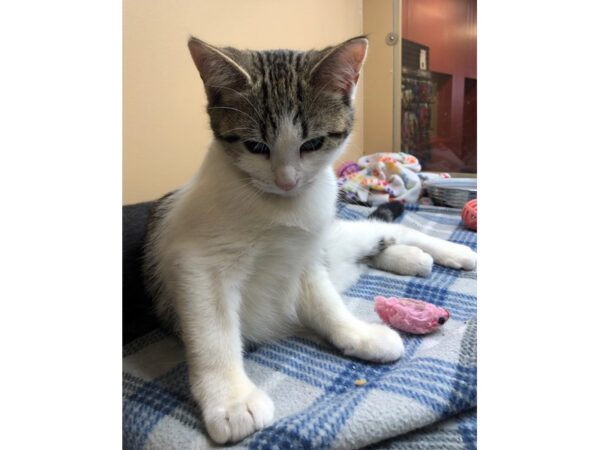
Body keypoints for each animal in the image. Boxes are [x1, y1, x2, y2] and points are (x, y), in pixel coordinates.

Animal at [143, 35, 476, 442]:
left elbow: (326, 303)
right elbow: (214, 332)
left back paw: (452, 251)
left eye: (313, 143)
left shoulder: (304, 255)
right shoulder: (197, 264)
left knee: (390, 230)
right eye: (255, 146)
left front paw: (358, 334)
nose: (287, 180)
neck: (279, 208)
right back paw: (411, 258)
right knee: (374, 246)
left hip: (334, 239)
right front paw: (233, 400)